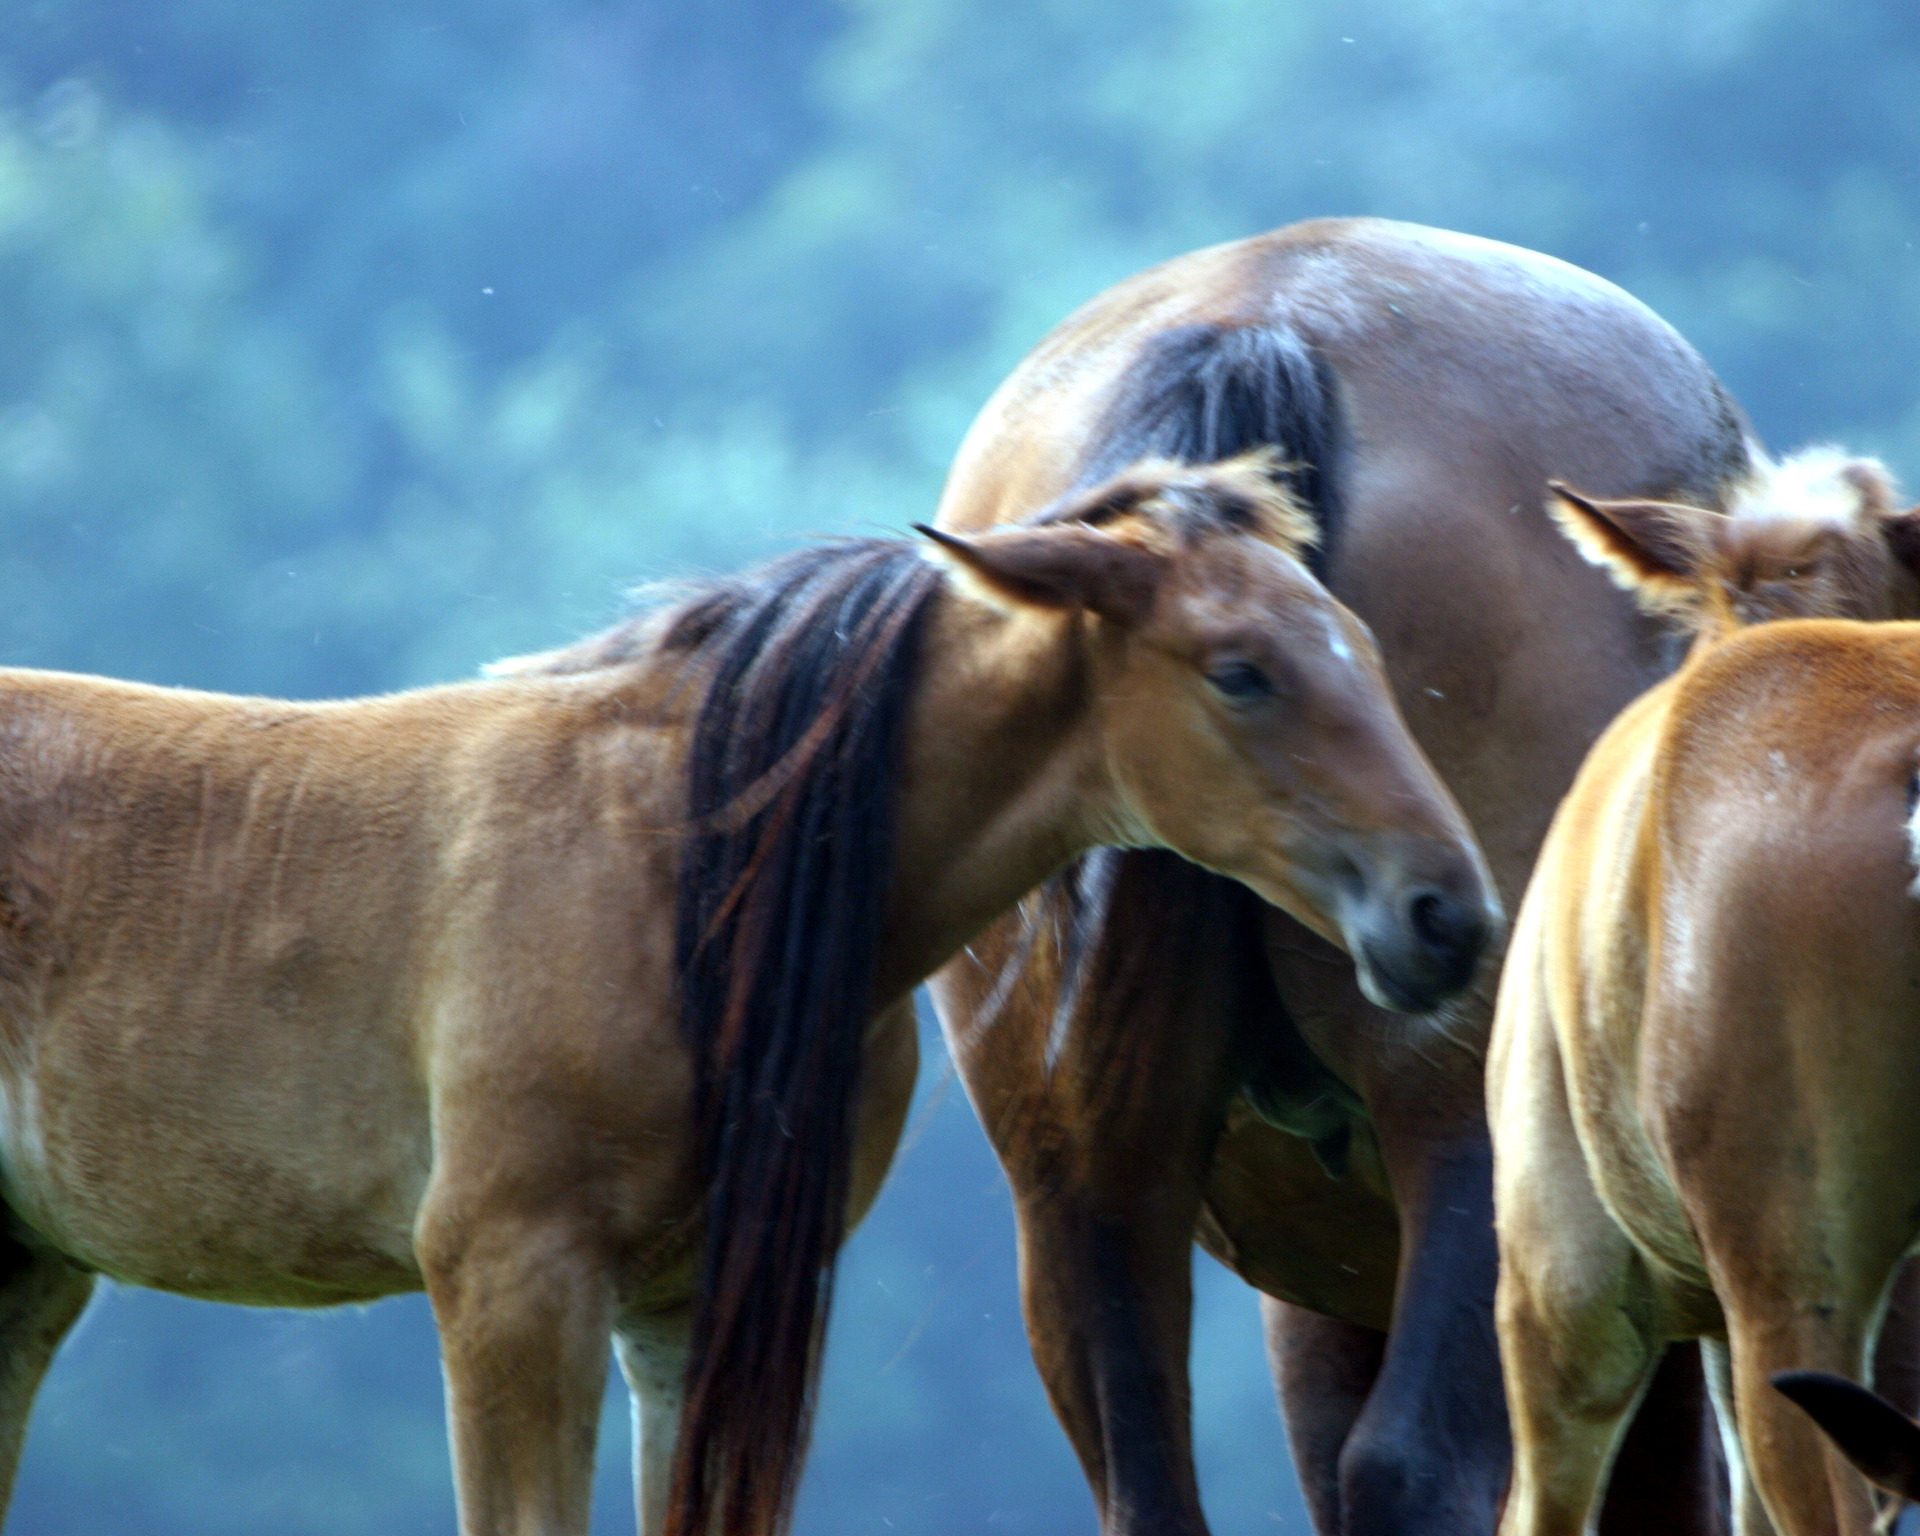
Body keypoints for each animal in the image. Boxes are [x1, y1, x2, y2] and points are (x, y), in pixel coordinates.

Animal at [0, 453, 1497, 1536]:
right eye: (1241, 671)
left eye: (1366, 644)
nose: (1449, 914)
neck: (675, 865)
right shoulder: (510, 1278)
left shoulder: (684, 1302)